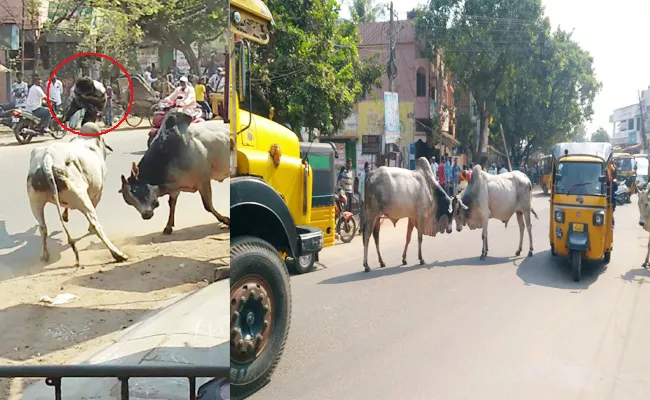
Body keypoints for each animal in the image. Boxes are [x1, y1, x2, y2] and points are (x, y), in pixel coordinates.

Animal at [26, 123, 128, 264]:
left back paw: (45, 255)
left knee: (43, 227)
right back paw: (117, 254)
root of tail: (47, 159)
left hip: (35, 201)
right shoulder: (98, 192)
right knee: (96, 225)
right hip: (81, 196)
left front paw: (65, 216)